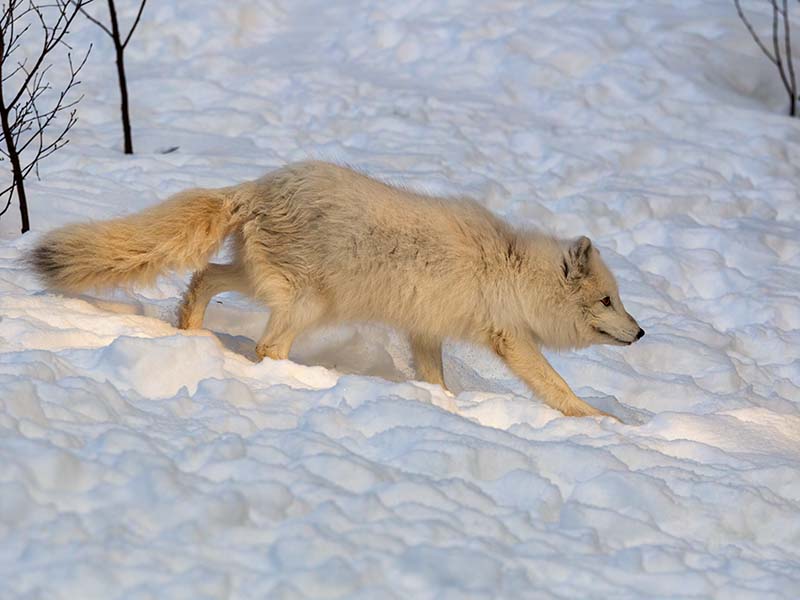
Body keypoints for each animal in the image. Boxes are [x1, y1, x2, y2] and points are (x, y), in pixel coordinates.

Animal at [29, 161, 644, 417]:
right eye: (607, 300)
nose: (641, 333)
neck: (512, 271)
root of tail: (257, 187)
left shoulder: (425, 329)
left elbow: (437, 381)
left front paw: (442, 405)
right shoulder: (510, 338)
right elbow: (558, 387)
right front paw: (601, 421)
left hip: (257, 282)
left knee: (204, 277)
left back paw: (191, 335)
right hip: (306, 304)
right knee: (267, 346)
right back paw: (302, 379)